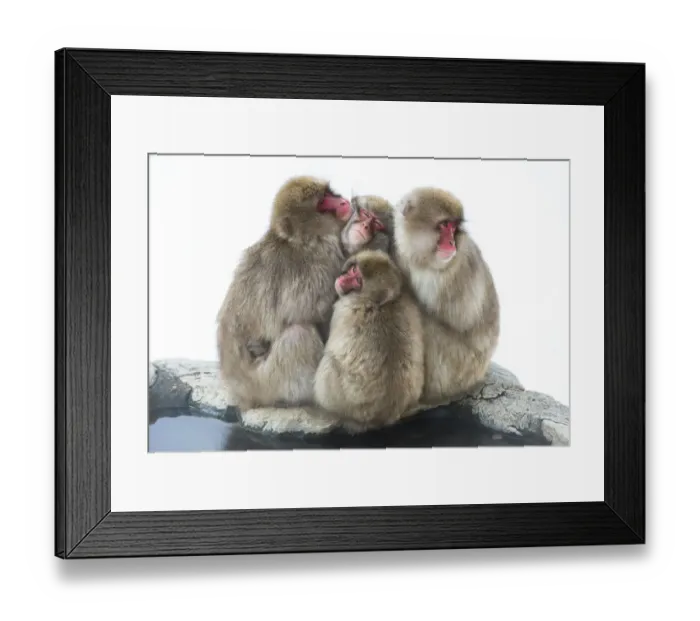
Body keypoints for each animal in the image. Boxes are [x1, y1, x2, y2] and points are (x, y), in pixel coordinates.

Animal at [216, 175, 351, 415]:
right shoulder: (320, 260)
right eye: (322, 204)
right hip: (269, 382)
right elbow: (307, 308)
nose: (343, 201)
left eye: (329, 193)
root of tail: (244, 394)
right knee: (299, 335)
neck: (305, 240)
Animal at [392, 187, 500, 408]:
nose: (451, 243)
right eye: (444, 225)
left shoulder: (446, 277)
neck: (421, 261)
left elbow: (458, 319)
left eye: (453, 227)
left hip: (460, 369)